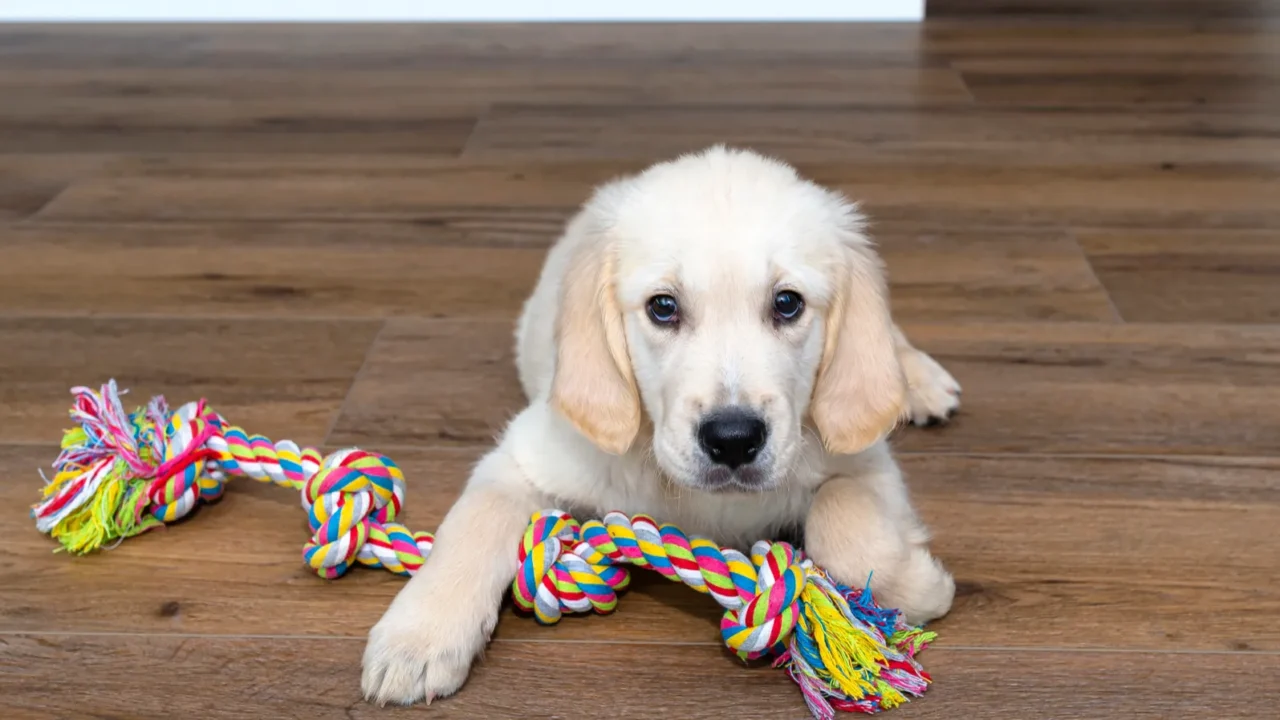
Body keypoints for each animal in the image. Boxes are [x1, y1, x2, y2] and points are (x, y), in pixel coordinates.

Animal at [360, 144, 962, 702]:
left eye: (788, 303)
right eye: (663, 307)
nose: (733, 440)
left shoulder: (864, 462)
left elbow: (846, 529)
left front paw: (919, 587)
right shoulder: (522, 457)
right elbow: (471, 528)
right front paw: (416, 641)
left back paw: (918, 381)